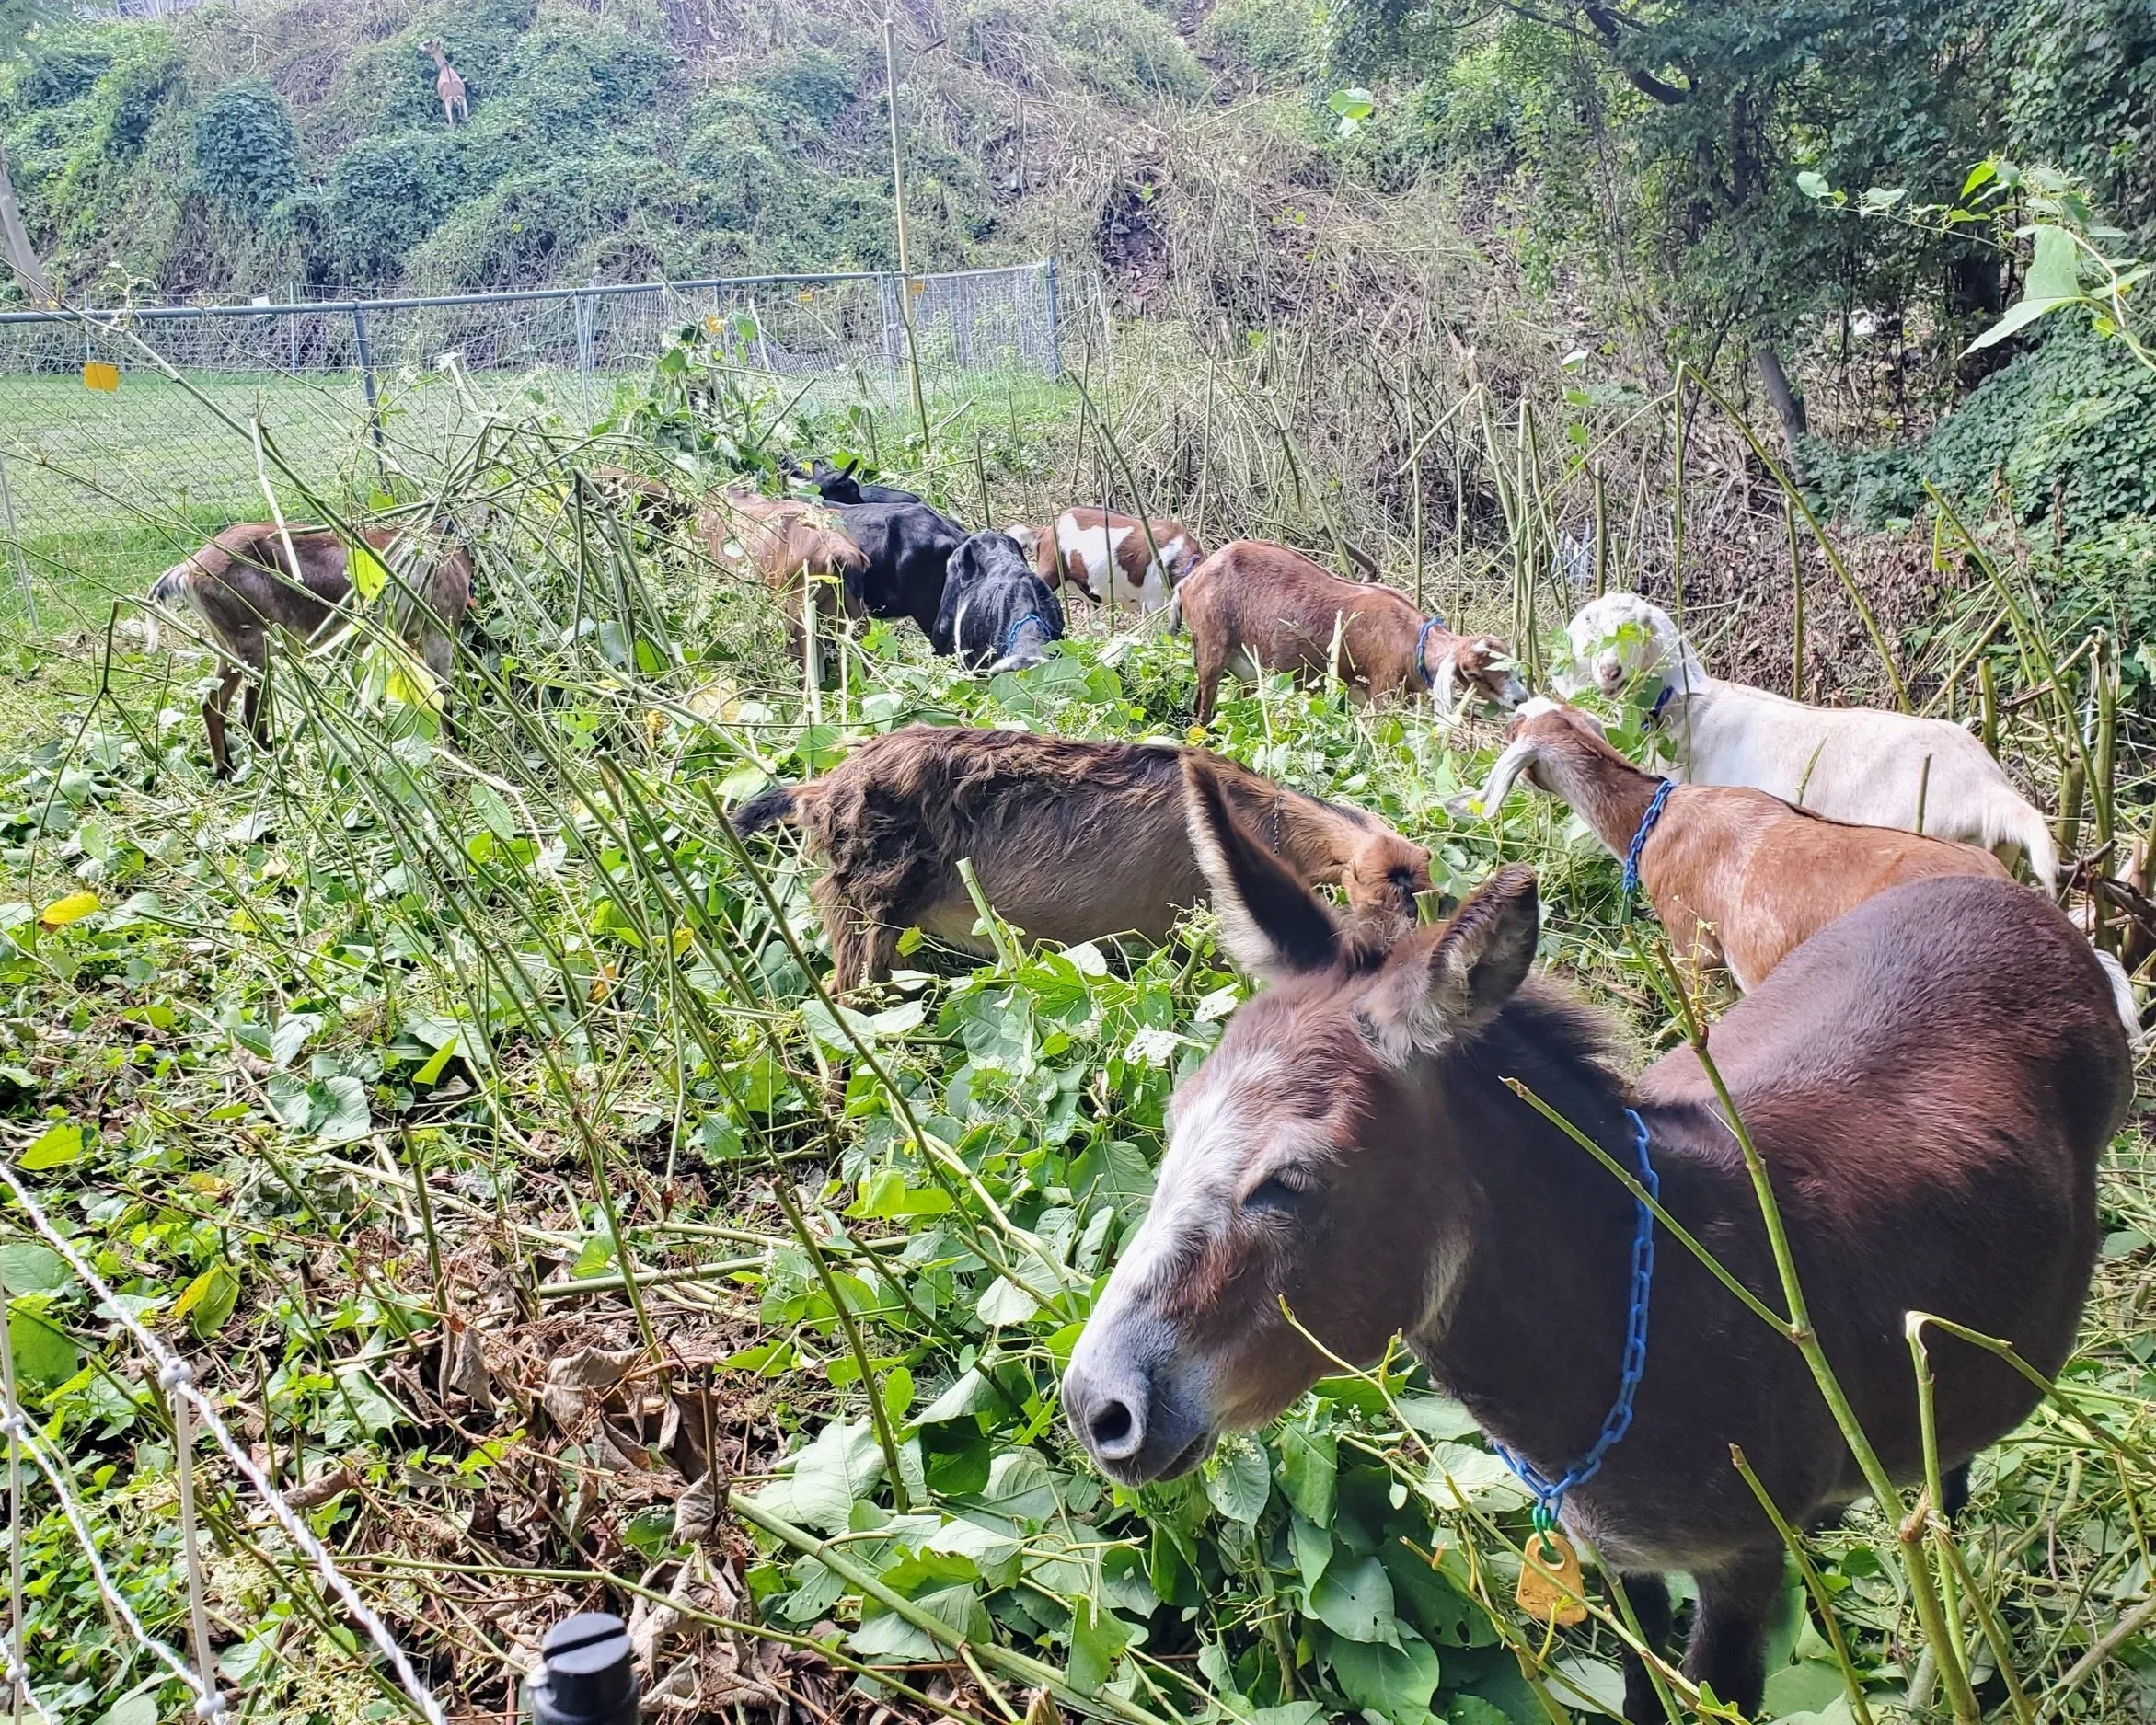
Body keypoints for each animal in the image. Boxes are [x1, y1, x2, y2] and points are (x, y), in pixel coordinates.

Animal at [149, 521, 471, 777]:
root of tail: (187, 569)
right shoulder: (437, 631)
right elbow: (442, 695)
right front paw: (456, 754)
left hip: (225, 647)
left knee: (211, 703)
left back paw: (224, 769)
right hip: (255, 647)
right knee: (249, 717)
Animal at [1172, 540, 1528, 724]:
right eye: (1479, 673)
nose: (1520, 698)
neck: (1413, 639)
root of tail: (1190, 580)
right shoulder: (1381, 694)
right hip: (1211, 650)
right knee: (1202, 708)